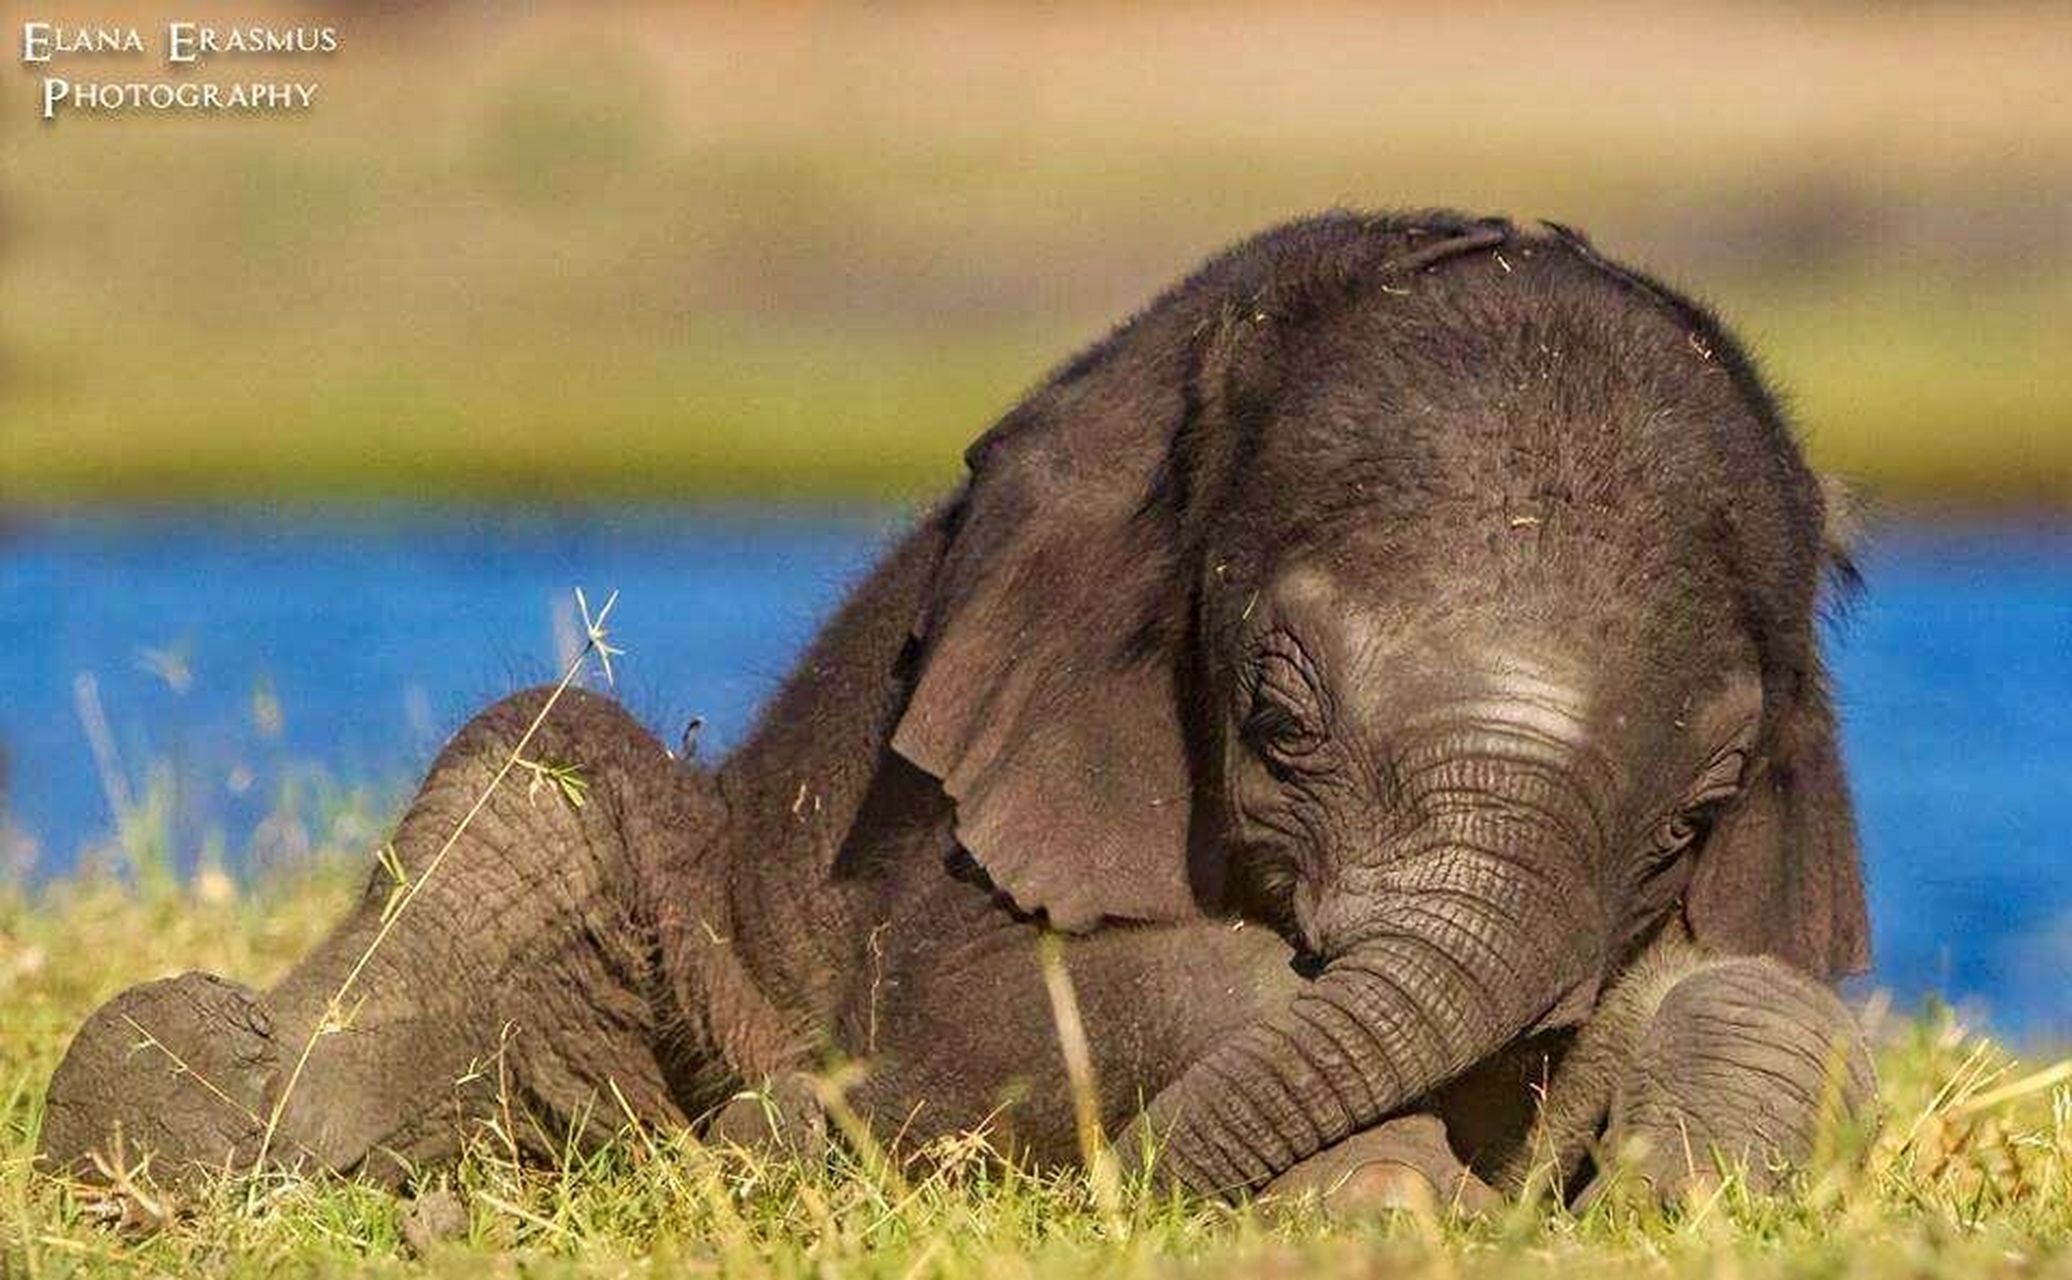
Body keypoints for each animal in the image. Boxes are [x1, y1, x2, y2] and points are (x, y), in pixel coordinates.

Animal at [42, 210, 1876, 1207]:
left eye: (1692, 823)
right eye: (1279, 722)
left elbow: (1750, 992)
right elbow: (986, 1008)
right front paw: (1394, 1186)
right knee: (532, 785)